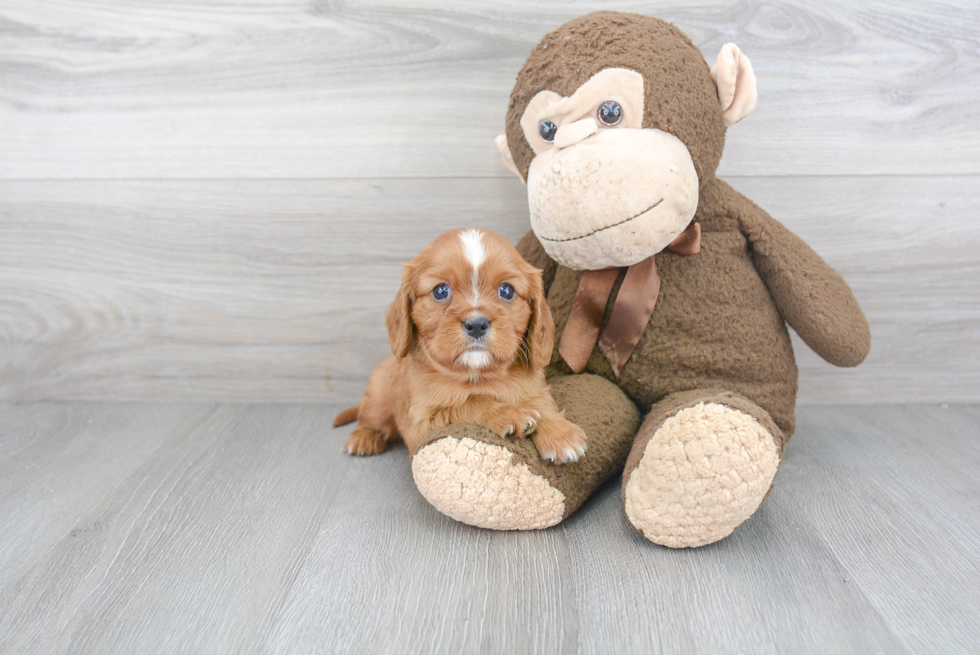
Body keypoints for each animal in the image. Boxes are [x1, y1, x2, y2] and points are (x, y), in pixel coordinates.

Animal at [334, 228, 584, 464]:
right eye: (441, 290)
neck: (479, 374)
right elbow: (471, 403)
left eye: (507, 290)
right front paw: (509, 414)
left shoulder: (535, 386)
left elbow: (542, 402)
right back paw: (363, 438)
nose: (476, 325)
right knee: (368, 420)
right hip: (377, 400)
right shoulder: (422, 424)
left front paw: (559, 433)